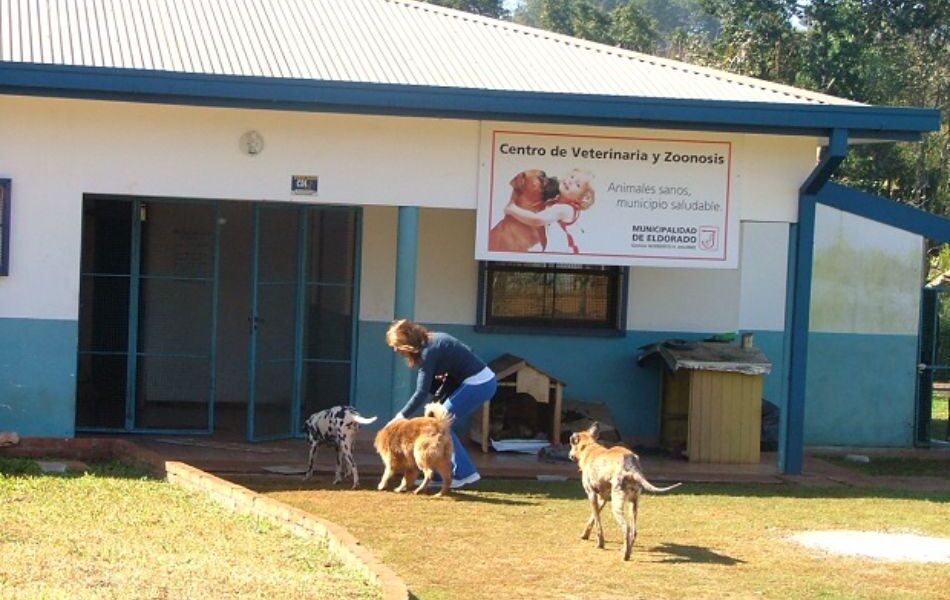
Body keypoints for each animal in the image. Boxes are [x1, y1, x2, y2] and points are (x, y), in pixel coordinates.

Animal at [568, 422, 680, 556]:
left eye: (571, 444)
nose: (569, 455)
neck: (589, 446)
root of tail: (631, 466)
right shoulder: (602, 497)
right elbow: (593, 518)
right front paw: (585, 534)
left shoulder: (592, 495)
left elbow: (597, 522)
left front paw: (600, 544)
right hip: (633, 504)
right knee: (633, 531)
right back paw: (627, 549)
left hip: (617, 504)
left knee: (626, 528)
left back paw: (625, 555)